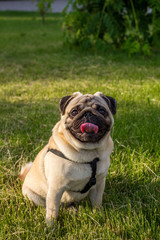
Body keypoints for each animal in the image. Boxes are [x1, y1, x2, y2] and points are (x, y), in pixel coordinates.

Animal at [18, 91, 117, 226]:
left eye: (102, 111)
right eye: (74, 112)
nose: (88, 113)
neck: (88, 153)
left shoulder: (99, 183)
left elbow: (97, 202)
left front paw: (99, 215)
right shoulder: (56, 189)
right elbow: (53, 210)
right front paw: (51, 226)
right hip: (33, 196)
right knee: (50, 206)